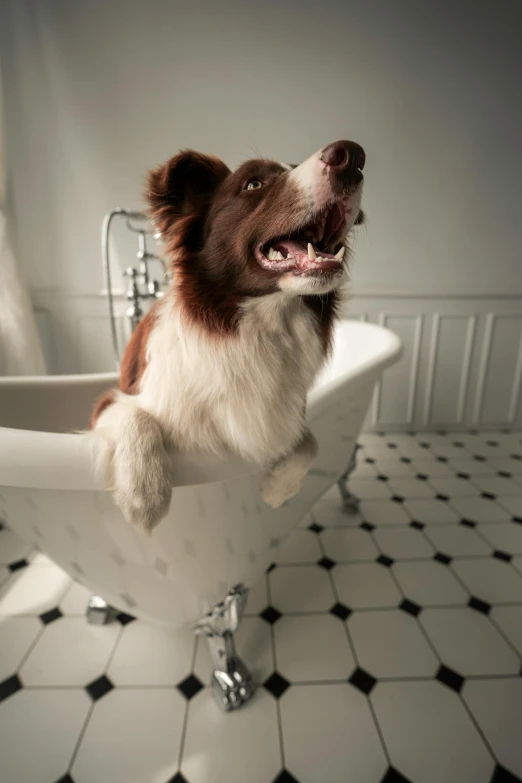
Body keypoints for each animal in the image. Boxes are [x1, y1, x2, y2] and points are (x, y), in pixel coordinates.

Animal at [89, 139, 364, 532]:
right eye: (253, 184)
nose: (352, 155)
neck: (260, 327)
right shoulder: (112, 401)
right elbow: (134, 415)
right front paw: (144, 495)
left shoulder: (286, 415)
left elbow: (309, 440)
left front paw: (278, 489)